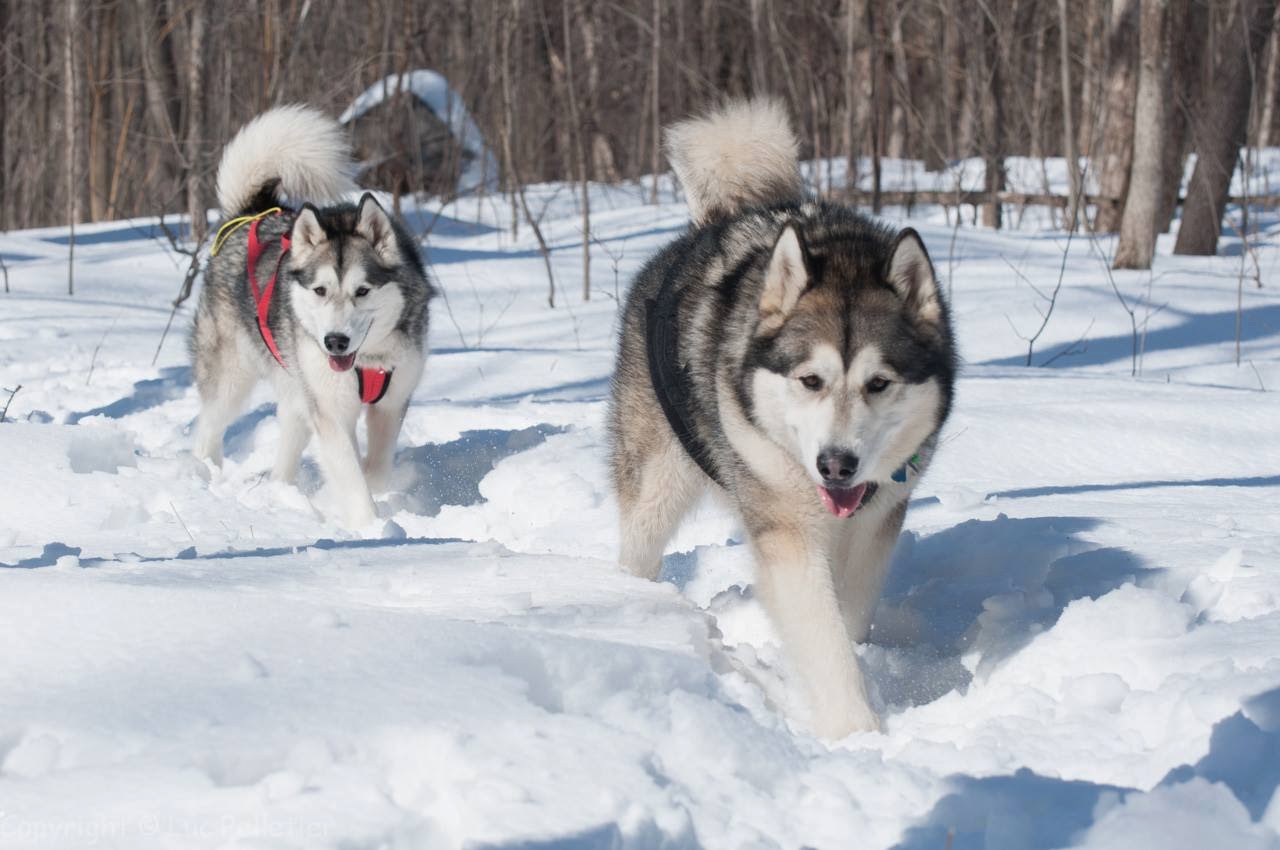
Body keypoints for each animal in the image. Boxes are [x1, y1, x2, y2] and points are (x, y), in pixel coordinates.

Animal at [191, 105, 432, 528]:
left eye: (362, 291)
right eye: (320, 291)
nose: (334, 342)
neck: (367, 361)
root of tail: (251, 214)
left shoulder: (392, 402)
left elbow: (375, 469)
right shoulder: (331, 410)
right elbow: (352, 476)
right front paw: (372, 526)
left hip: (296, 389)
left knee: (288, 439)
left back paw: (281, 492)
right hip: (232, 377)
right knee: (209, 427)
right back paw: (206, 475)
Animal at [608, 99, 956, 737]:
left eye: (879, 383)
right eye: (810, 380)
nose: (837, 465)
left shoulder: (877, 523)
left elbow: (850, 613)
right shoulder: (788, 530)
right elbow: (824, 639)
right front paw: (857, 732)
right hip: (657, 481)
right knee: (640, 539)